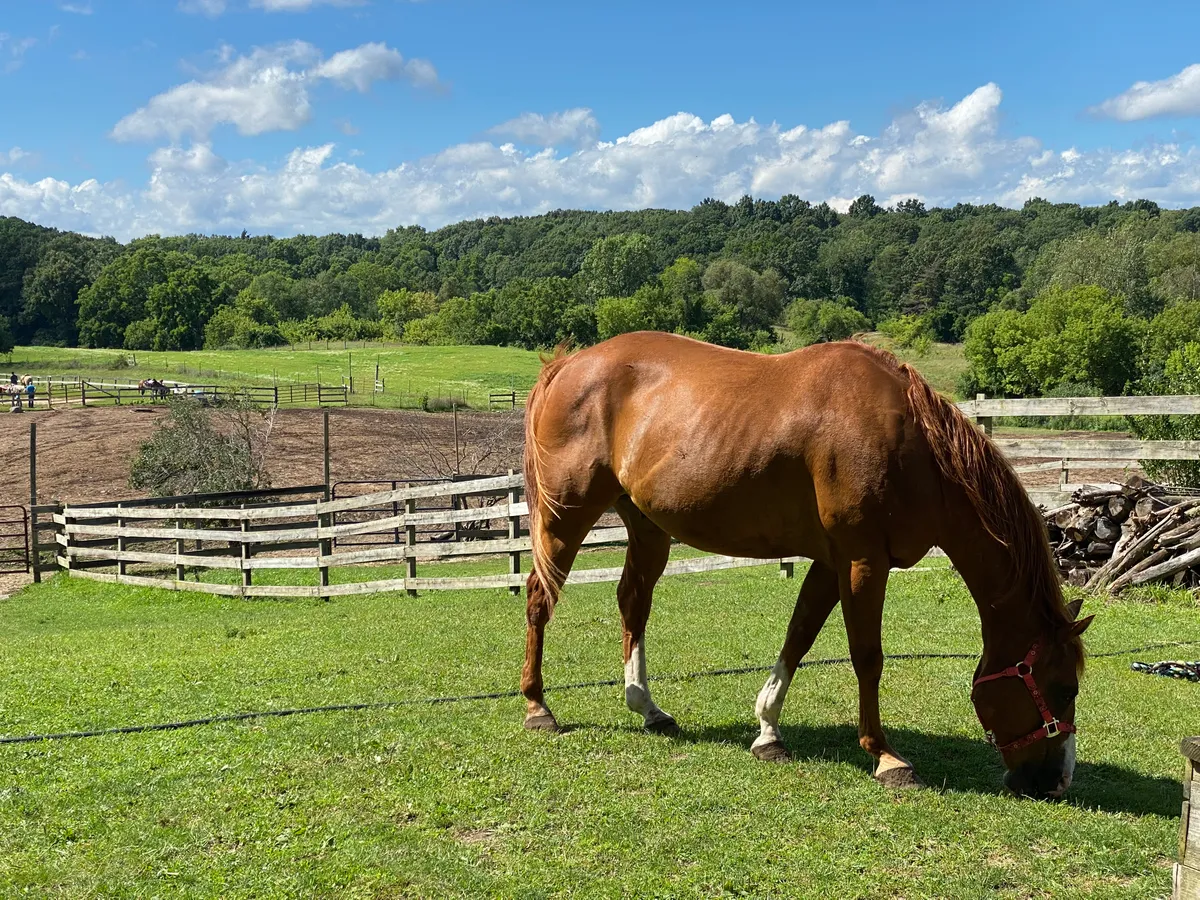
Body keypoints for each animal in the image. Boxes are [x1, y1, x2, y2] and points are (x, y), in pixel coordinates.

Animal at [520, 332, 1093, 800]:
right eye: (1064, 689)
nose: (1058, 782)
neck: (911, 444)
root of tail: (568, 365)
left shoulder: (829, 562)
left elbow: (798, 638)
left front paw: (768, 732)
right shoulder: (863, 562)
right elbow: (867, 657)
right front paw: (886, 756)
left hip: (646, 527)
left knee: (633, 601)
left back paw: (648, 708)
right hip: (566, 517)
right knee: (539, 597)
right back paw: (538, 707)